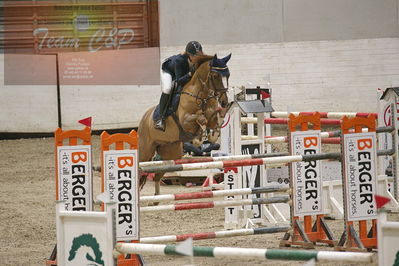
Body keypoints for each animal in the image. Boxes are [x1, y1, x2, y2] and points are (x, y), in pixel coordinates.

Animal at [138, 54, 231, 195]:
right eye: (215, 76)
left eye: (228, 75)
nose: (225, 101)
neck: (200, 95)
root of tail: (144, 118)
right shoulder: (185, 120)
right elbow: (201, 119)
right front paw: (199, 138)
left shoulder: (211, 114)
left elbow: (214, 119)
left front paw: (212, 133)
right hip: (145, 151)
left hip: (171, 152)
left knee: (158, 175)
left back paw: (156, 198)